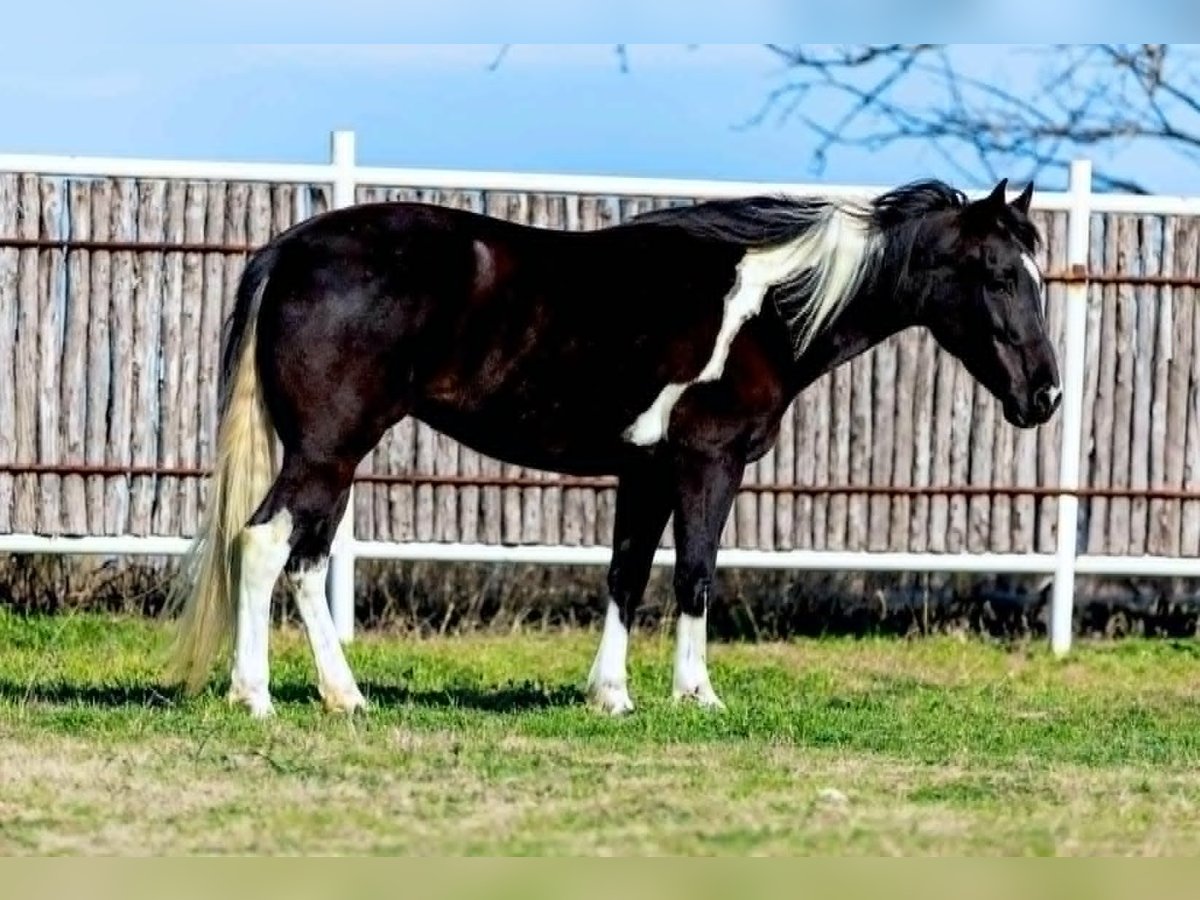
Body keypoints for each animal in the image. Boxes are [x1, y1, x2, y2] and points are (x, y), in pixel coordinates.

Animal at [164, 176, 1061, 718]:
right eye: (996, 273)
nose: (1045, 395)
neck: (767, 308)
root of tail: (293, 248)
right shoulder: (707, 464)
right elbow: (696, 575)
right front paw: (697, 694)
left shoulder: (647, 472)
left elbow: (626, 577)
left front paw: (612, 695)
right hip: (327, 449)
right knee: (264, 543)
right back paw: (256, 697)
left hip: (335, 455)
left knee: (306, 561)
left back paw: (346, 698)